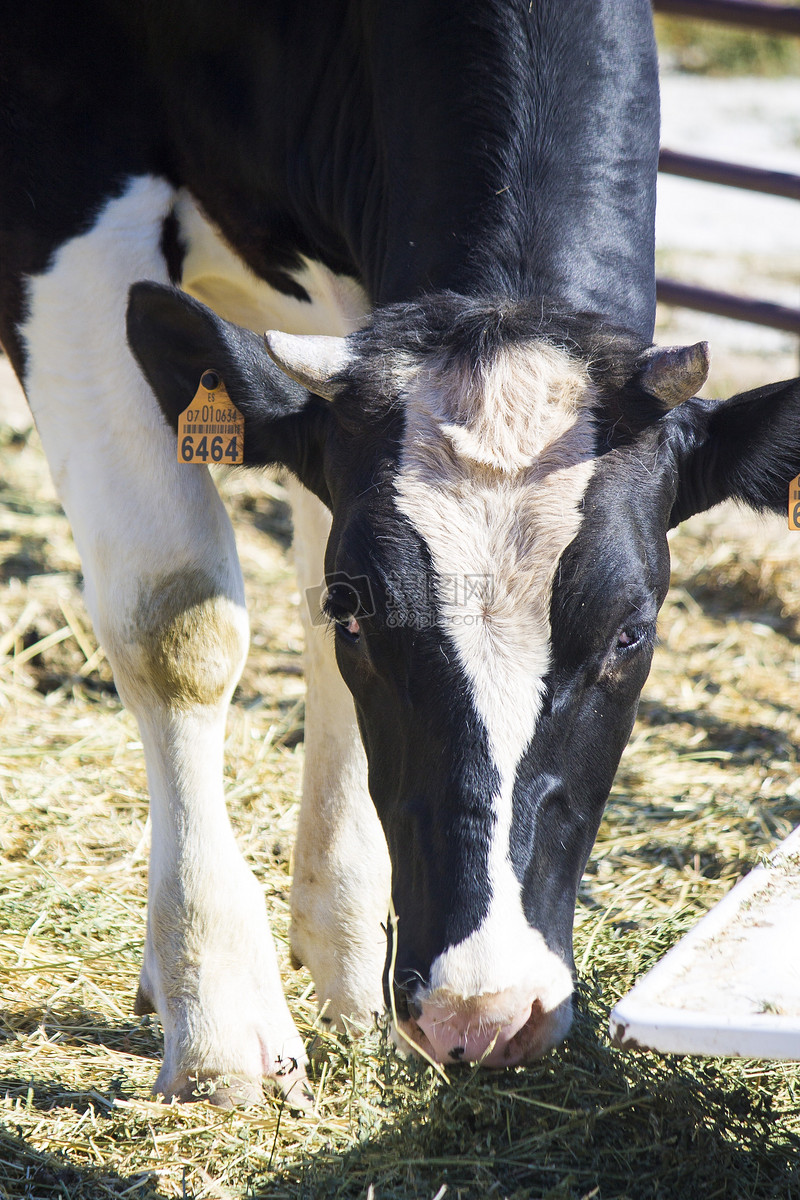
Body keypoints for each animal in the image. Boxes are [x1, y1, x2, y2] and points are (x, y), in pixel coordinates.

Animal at [1, 0, 800, 1104]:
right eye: (362, 614)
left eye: (631, 636)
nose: (486, 1012)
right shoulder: (60, 193)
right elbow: (177, 621)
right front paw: (219, 1021)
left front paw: (343, 958)